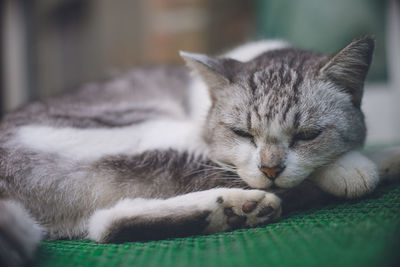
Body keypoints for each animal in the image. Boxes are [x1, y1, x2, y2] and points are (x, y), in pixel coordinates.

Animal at [0, 36, 400, 266]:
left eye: (307, 135)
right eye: (241, 133)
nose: (271, 170)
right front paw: (356, 166)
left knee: (105, 225)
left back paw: (230, 211)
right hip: (150, 130)